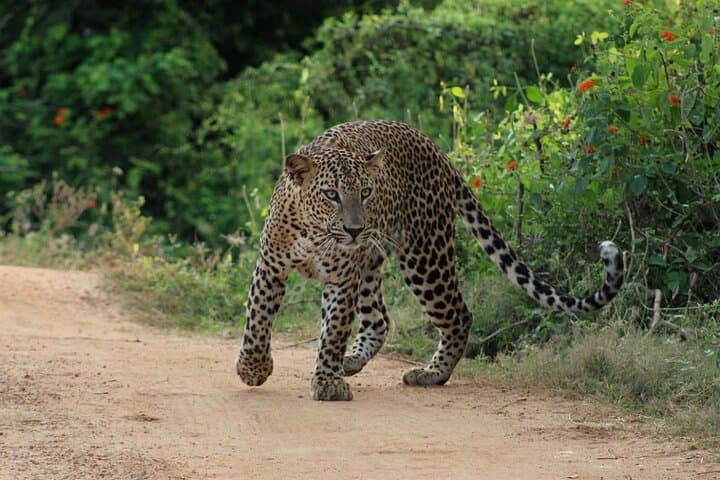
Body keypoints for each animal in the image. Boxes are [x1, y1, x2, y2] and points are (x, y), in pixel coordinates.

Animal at [235, 120, 624, 401]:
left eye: (366, 192)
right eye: (331, 194)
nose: (356, 229)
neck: (317, 232)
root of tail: (437, 149)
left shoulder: (342, 278)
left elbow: (333, 331)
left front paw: (327, 381)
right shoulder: (271, 266)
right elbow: (258, 320)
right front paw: (253, 368)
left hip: (424, 256)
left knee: (458, 315)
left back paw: (431, 374)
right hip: (375, 264)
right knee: (379, 319)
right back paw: (354, 361)